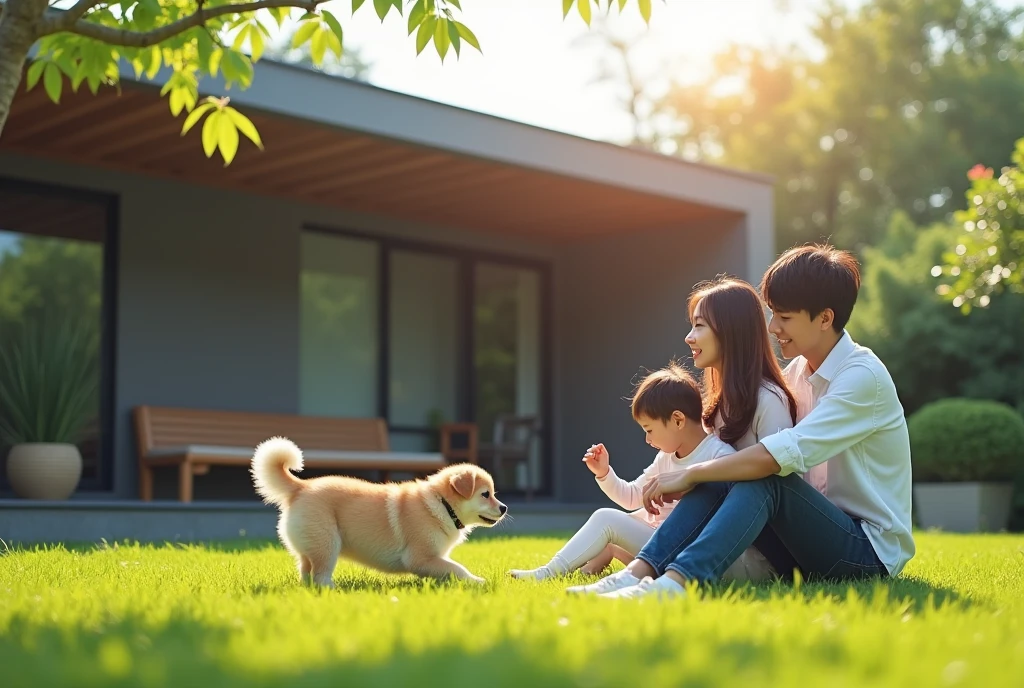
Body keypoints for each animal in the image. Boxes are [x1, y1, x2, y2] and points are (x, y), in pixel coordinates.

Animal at [251, 438, 507, 589]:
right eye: (485, 494)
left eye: (494, 493)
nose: (504, 508)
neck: (442, 503)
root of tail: (301, 487)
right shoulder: (420, 558)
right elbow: (457, 568)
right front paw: (477, 581)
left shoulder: (432, 559)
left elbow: (448, 570)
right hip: (327, 544)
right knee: (320, 574)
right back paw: (331, 590)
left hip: (308, 546)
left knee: (305, 570)